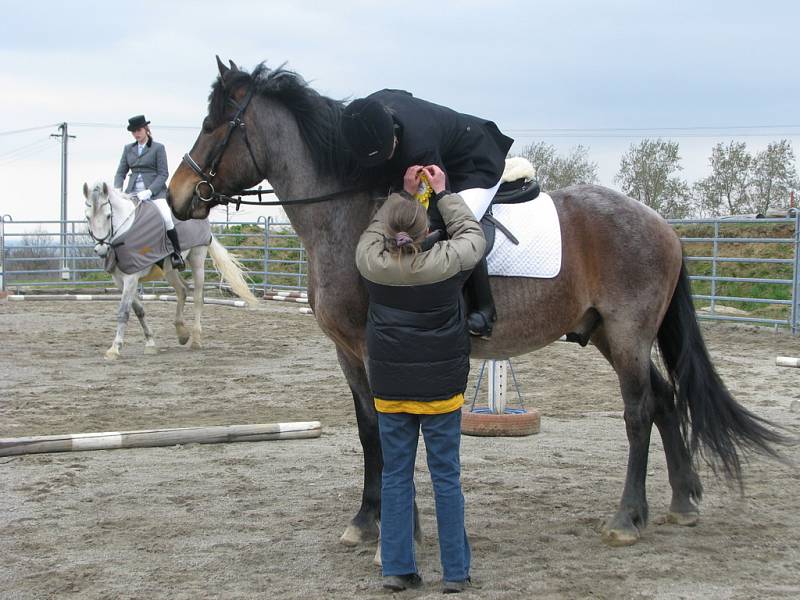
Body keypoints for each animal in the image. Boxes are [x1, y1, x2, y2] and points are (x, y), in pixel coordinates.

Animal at [82, 180, 256, 358]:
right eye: (87, 217)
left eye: (108, 216)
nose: (101, 250)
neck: (125, 231)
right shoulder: (119, 280)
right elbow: (139, 310)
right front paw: (150, 343)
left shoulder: (131, 278)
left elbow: (124, 311)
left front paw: (115, 348)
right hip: (169, 269)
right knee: (182, 291)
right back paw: (182, 333)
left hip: (197, 258)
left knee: (198, 298)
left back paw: (195, 339)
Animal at [166, 58, 784, 552]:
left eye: (213, 125)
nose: (177, 198)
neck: (346, 217)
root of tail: (660, 224)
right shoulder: (348, 353)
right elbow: (369, 432)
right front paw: (366, 521)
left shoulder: (377, 346)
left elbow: (393, 432)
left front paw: (401, 529)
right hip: (609, 333)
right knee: (664, 399)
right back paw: (682, 502)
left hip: (629, 332)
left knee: (639, 411)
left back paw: (628, 518)